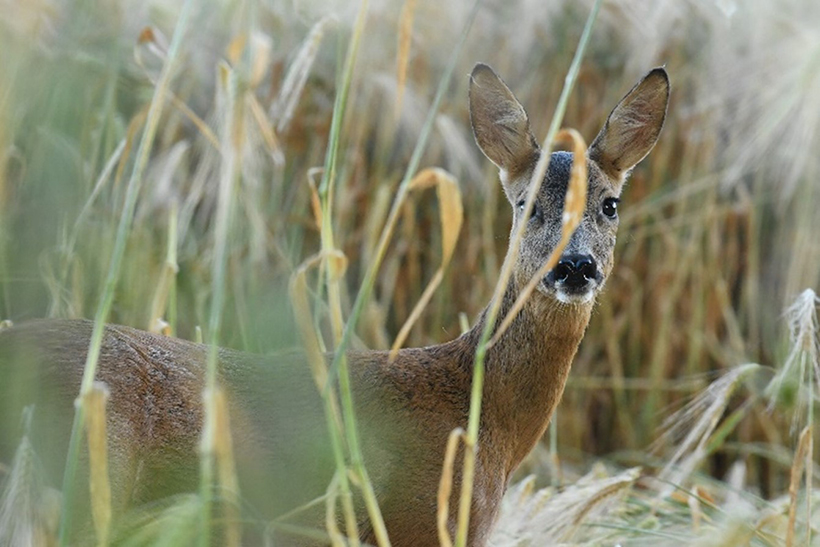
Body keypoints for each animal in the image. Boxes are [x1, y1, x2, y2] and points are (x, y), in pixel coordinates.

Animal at [0, 62, 668, 544]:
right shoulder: (422, 522)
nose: (575, 266)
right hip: (86, 489)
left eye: (609, 204)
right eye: (526, 204)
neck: (482, 420)